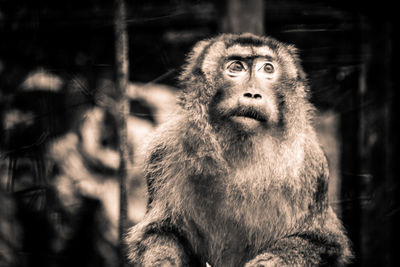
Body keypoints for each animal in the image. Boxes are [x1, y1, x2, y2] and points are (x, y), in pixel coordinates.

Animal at [126, 33, 352, 267]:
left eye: (268, 68)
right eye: (236, 67)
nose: (252, 94)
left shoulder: (312, 166)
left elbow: (322, 242)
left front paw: (266, 263)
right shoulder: (164, 150)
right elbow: (162, 231)